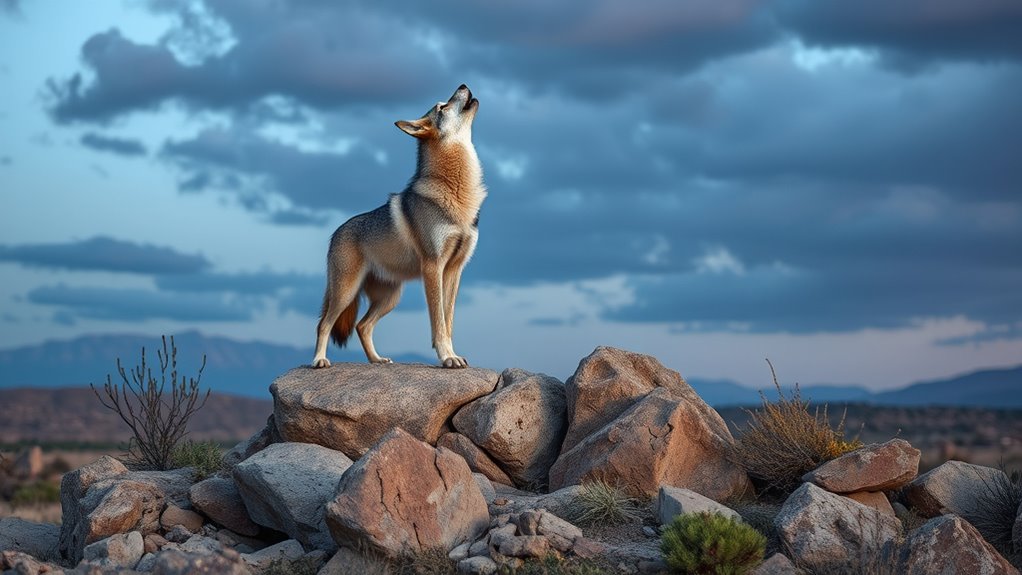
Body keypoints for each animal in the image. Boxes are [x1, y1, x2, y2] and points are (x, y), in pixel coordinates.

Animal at [312, 84, 485, 369]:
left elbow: (448, 321)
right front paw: (447, 357)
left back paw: (377, 360)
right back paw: (319, 360)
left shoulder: (455, 270)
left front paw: (453, 355)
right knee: (323, 324)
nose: (463, 85)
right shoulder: (433, 267)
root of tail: (336, 232)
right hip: (345, 293)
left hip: (390, 298)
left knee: (362, 326)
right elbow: (438, 322)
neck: (457, 194)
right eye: (442, 106)